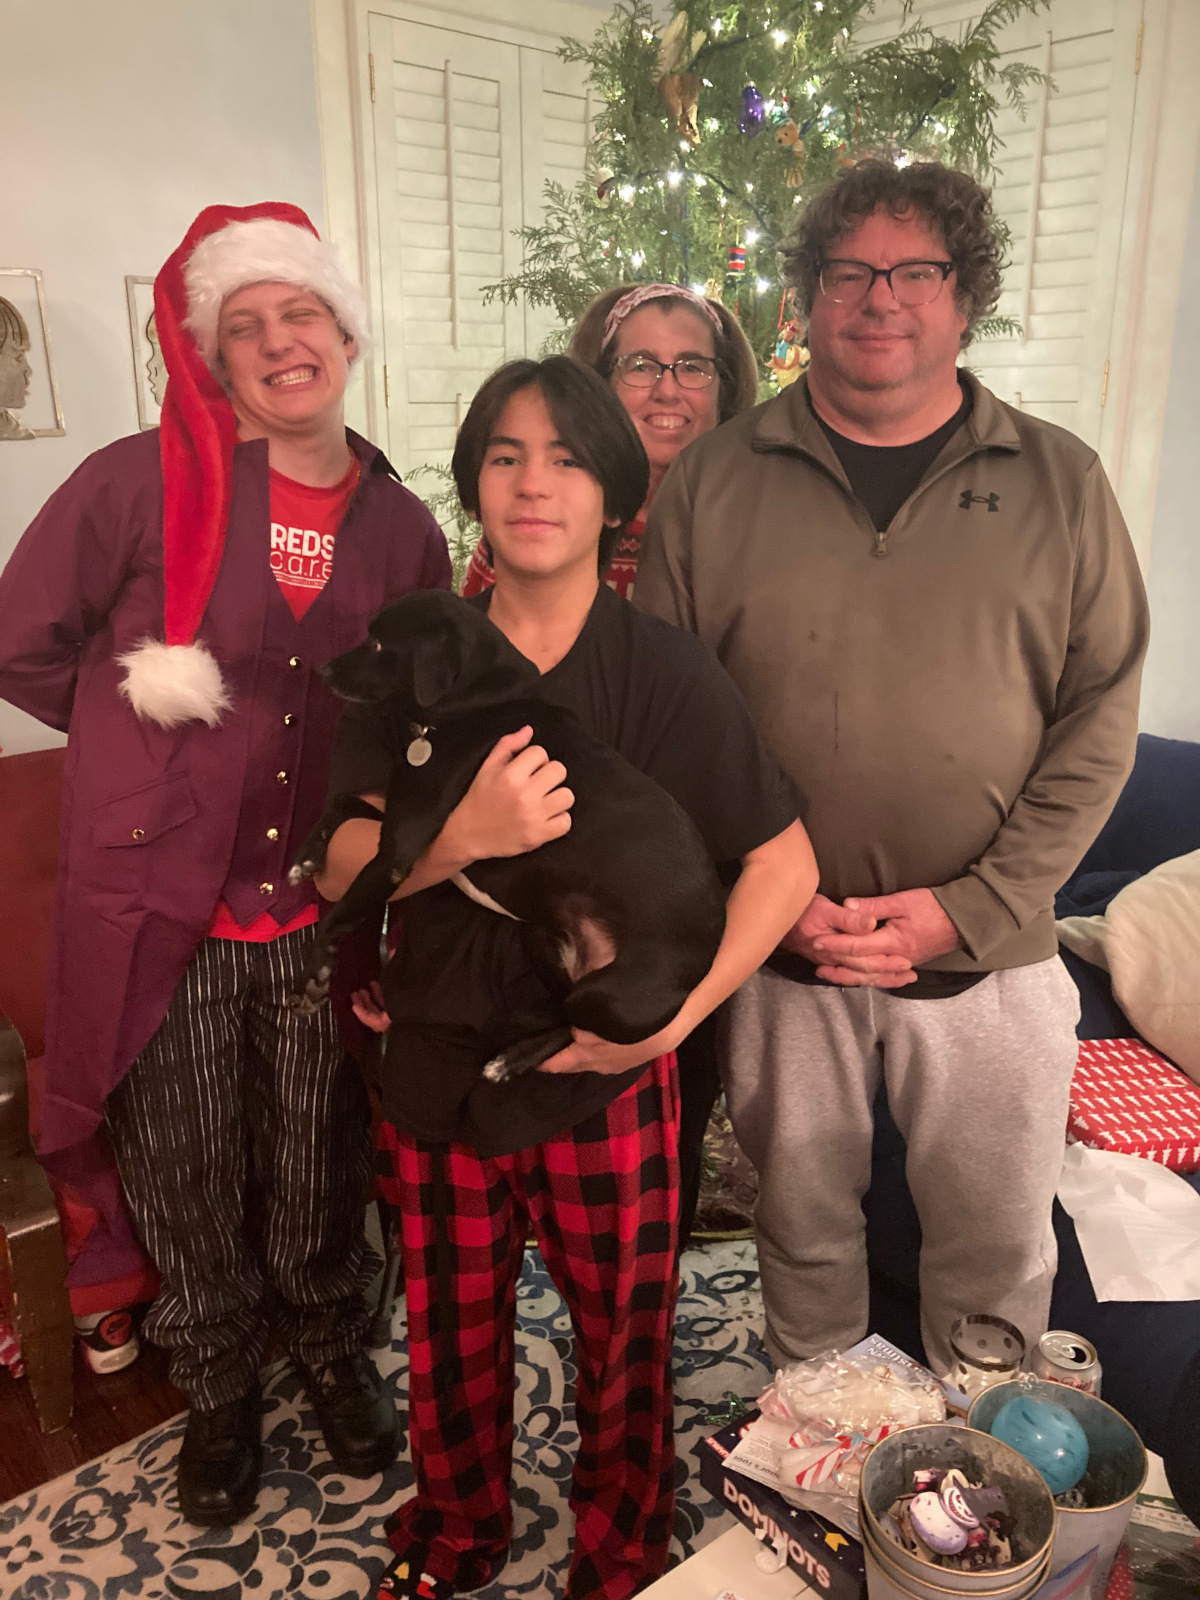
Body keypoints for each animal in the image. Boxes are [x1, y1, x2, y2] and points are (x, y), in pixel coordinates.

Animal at [289, 590, 726, 1082]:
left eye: (379, 644)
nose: (323, 671)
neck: (471, 708)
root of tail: (711, 947)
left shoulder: (398, 851)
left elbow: (338, 914)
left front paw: (314, 976)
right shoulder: (397, 822)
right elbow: (343, 803)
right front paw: (306, 857)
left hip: (607, 997)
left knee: (576, 1027)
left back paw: (511, 1060)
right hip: (540, 936)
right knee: (561, 1009)